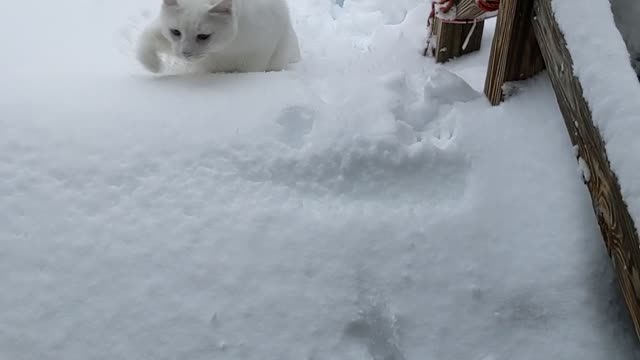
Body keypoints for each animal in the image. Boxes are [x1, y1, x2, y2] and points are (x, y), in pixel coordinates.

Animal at [137, 0, 300, 73]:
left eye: (203, 36)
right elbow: (145, 40)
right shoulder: (165, 37)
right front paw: (154, 66)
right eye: (176, 32)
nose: (185, 53)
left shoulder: (256, 56)